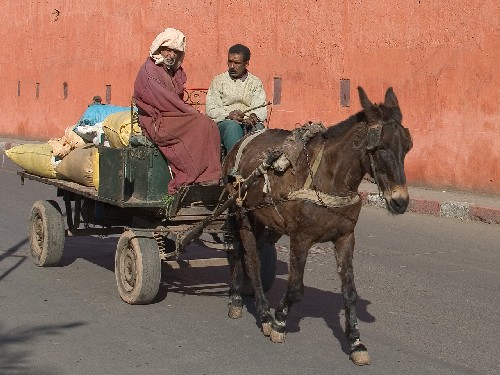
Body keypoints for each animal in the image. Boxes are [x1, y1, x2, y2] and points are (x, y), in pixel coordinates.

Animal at [221, 86, 412, 366]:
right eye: (378, 147)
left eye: (407, 146)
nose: (400, 202)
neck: (331, 178)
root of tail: (239, 143)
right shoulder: (301, 238)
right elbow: (296, 289)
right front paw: (279, 322)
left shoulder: (345, 237)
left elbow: (349, 292)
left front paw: (356, 342)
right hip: (241, 213)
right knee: (250, 258)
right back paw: (262, 313)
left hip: (263, 219)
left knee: (242, 252)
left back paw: (237, 296)